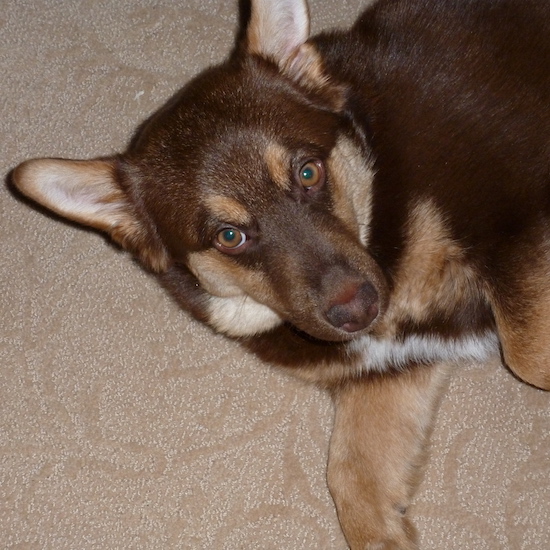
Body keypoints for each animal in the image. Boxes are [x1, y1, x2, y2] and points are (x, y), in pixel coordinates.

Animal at [12, 0, 550, 548]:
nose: (360, 310)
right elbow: (351, 484)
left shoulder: (516, 223)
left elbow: (528, 354)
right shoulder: (392, 373)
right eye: (229, 236)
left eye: (308, 172)